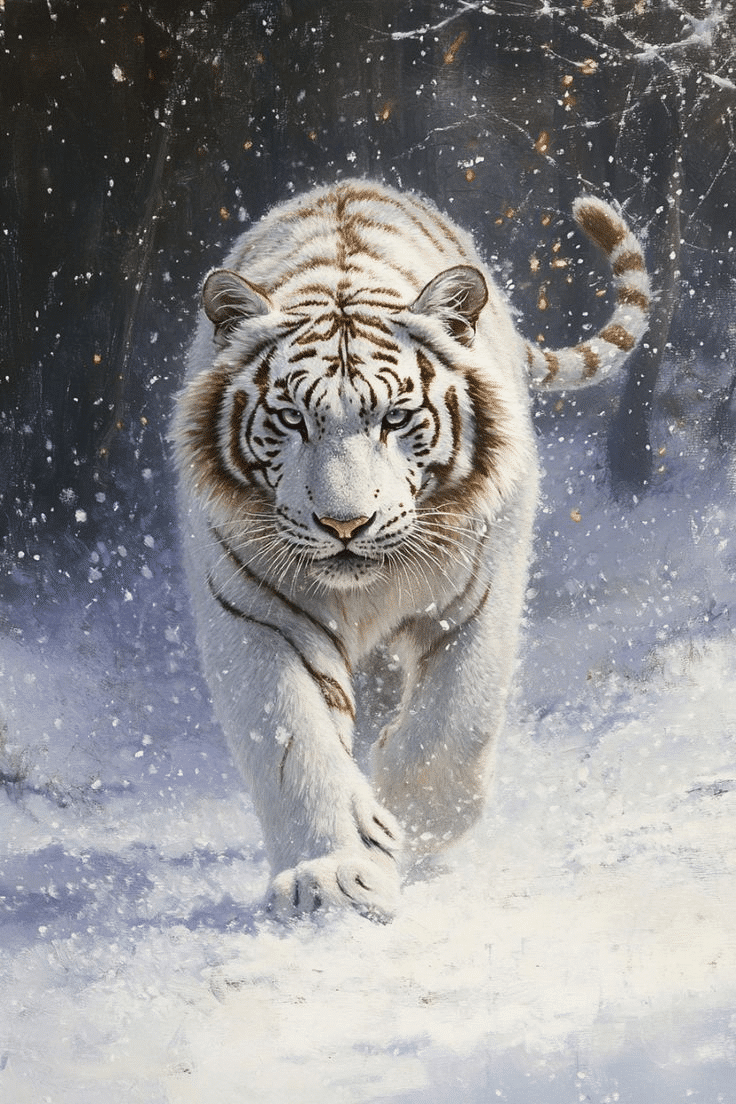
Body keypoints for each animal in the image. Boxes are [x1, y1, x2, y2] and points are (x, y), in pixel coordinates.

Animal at [172, 179, 650, 922]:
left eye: (395, 418)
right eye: (291, 420)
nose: (345, 524)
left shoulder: (478, 595)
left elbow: (453, 730)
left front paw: (410, 829)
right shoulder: (255, 611)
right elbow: (292, 741)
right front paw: (332, 875)